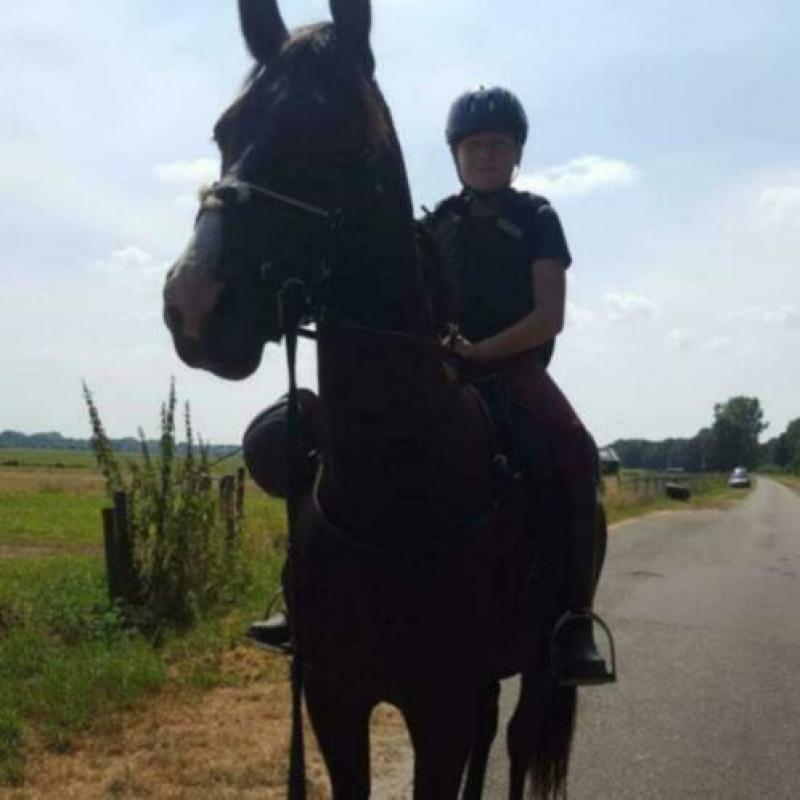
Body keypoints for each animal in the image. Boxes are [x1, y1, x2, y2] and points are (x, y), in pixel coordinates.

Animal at [163, 1, 580, 797]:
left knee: (516, 744)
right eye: (226, 131)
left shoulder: (438, 705)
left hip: (540, 669)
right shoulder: (334, 697)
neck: (399, 486)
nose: (193, 304)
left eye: (336, 137)